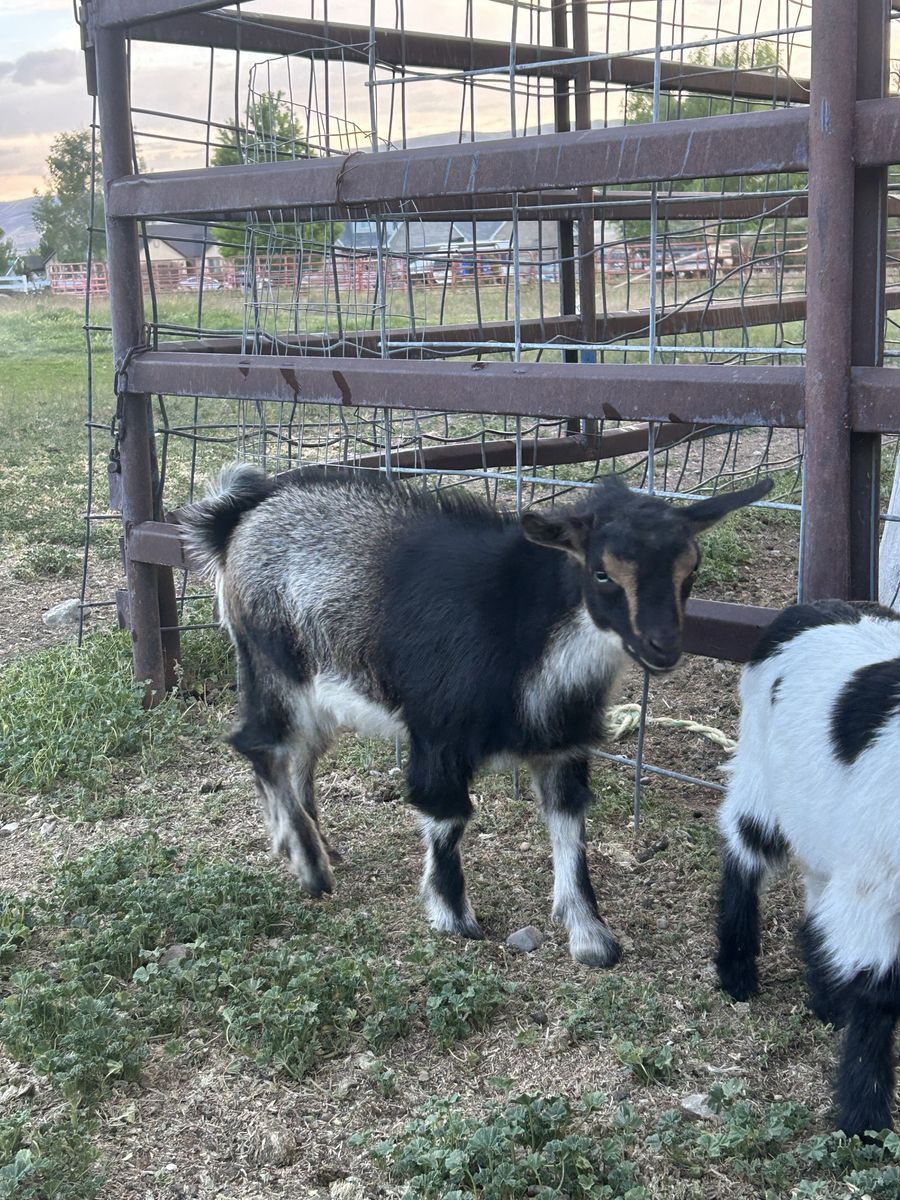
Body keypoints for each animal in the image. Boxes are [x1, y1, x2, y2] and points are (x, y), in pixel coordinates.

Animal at [181, 464, 769, 966]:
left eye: (690, 569)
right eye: (602, 573)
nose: (663, 648)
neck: (522, 629)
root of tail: (236, 519)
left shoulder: (562, 744)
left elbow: (569, 826)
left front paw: (590, 936)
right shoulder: (437, 730)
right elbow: (447, 816)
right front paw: (453, 916)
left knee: (297, 757)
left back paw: (311, 845)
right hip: (274, 664)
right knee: (260, 744)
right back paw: (310, 866)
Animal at [716, 599, 900, 1138]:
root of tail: (803, 610)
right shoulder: (878, 886)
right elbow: (880, 994)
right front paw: (864, 1122)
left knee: (818, 903)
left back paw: (825, 999)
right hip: (760, 777)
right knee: (742, 855)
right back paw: (736, 972)